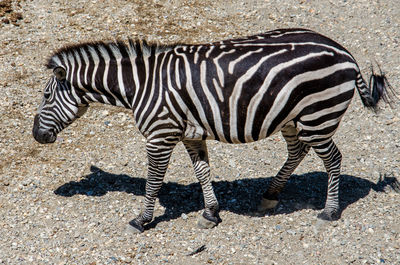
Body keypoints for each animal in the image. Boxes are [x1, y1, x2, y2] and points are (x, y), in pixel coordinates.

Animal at [32, 27, 392, 232]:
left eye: (46, 96)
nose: (36, 135)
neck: (141, 85)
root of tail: (344, 52)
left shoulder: (160, 136)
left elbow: (153, 181)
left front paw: (142, 220)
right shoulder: (190, 134)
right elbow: (202, 171)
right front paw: (211, 213)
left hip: (318, 115)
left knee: (333, 159)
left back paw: (329, 211)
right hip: (293, 117)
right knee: (298, 151)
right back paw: (270, 195)